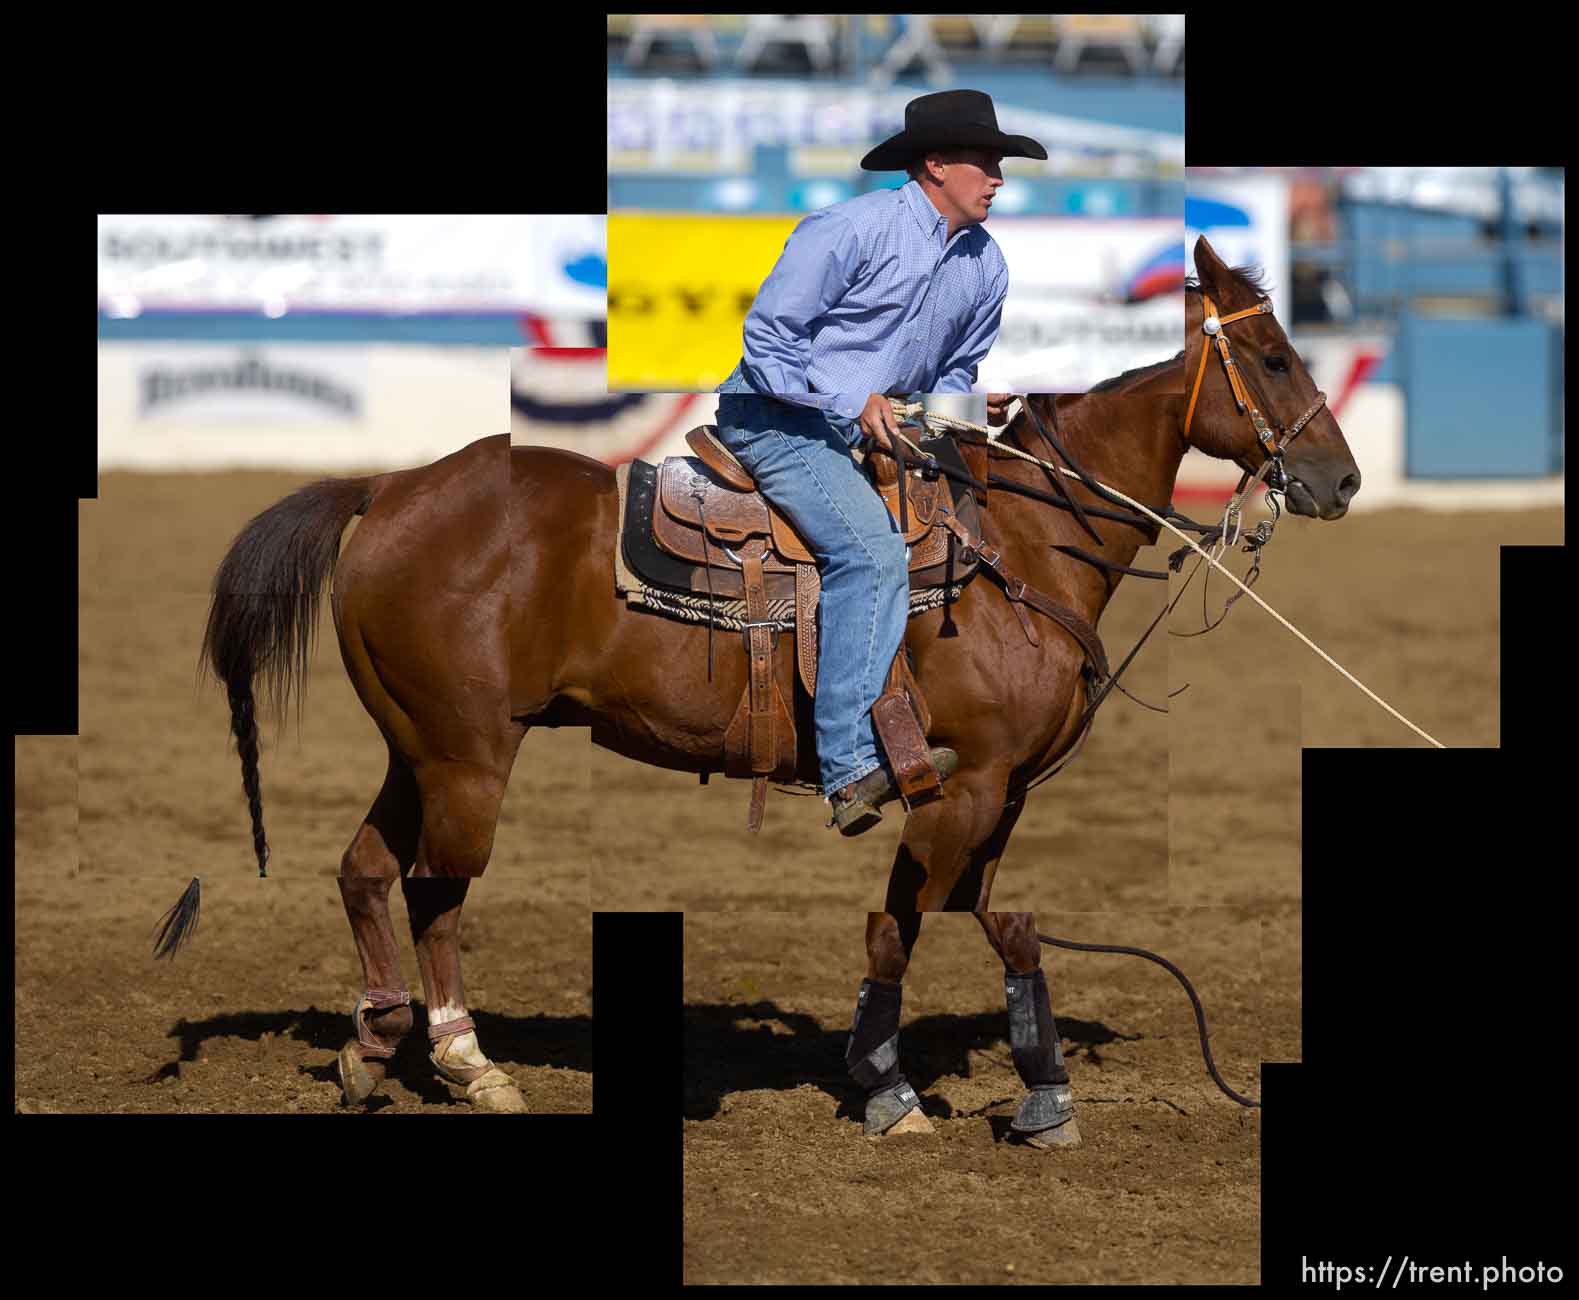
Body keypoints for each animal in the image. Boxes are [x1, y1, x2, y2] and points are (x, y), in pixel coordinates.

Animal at [166, 229, 1357, 1124]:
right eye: (1276, 359)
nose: (1338, 481)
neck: (1017, 542)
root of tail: (388, 486)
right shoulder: (962, 785)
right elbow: (905, 925)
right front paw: (893, 1094)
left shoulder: (1000, 793)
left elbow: (985, 922)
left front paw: (1026, 1091)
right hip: (468, 755)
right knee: (433, 892)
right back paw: (469, 1063)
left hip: (415, 746)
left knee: (366, 871)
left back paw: (372, 1047)